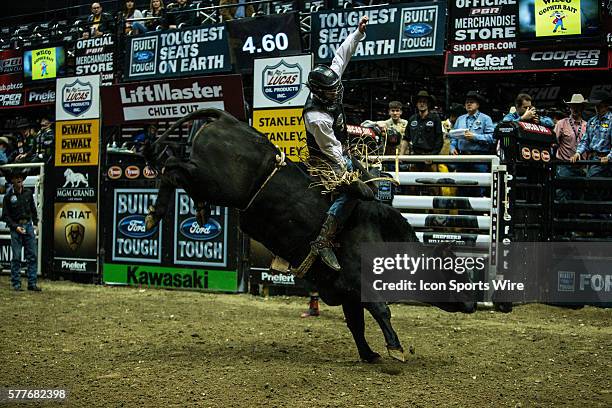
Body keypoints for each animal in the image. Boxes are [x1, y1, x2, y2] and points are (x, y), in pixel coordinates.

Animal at [146, 109, 476, 364]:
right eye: (454, 273)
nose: (473, 303)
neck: (386, 238)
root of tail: (228, 119)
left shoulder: (348, 292)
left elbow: (356, 324)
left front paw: (369, 354)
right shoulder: (361, 282)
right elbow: (382, 311)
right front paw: (395, 349)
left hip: (211, 183)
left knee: (176, 169)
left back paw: (193, 210)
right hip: (215, 181)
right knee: (172, 166)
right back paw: (156, 211)